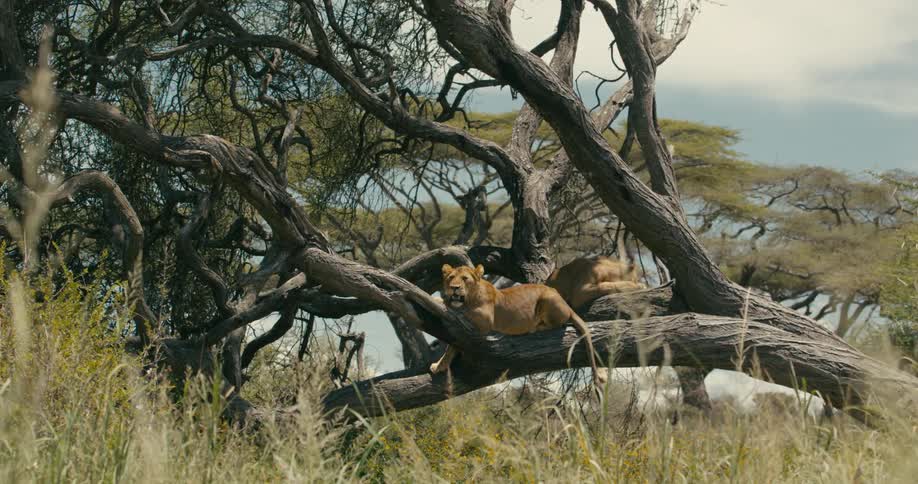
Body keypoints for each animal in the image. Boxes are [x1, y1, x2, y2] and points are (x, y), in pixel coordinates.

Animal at [430, 264, 605, 385]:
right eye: (450, 278)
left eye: (465, 279)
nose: (454, 288)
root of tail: (566, 304)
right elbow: (451, 346)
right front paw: (439, 365)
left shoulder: (485, 320)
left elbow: (460, 314)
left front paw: (440, 300)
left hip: (547, 298)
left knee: (558, 323)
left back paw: (535, 327)